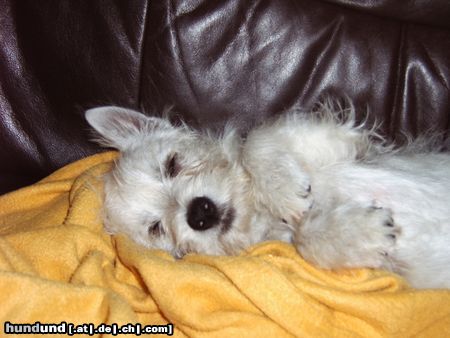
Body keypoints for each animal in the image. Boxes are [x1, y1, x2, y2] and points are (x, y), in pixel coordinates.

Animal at [85, 102, 450, 288]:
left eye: (172, 164)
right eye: (156, 228)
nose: (199, 213)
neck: (258, 212)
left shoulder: (344, 144)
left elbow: (255, 141)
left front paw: (284, 189)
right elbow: (303, 238)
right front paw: (358, 233)